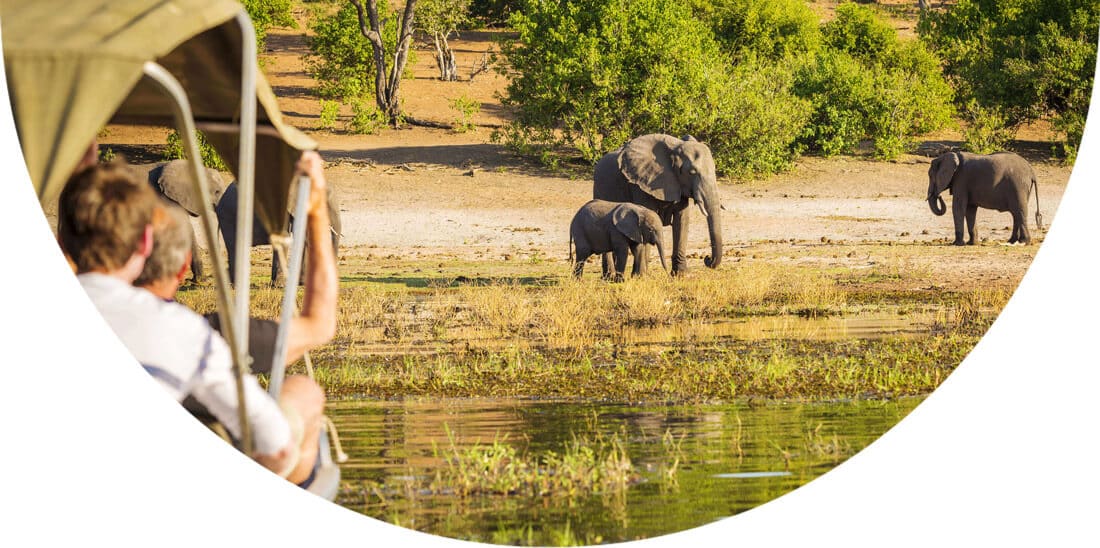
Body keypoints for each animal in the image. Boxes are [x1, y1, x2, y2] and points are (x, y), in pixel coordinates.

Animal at [594, 133, 721, 274]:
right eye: (692, 172)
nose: (707, 259)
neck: (674, 148)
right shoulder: (640, 184)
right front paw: (642, 275)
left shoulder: (677, 184)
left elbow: (682, 221)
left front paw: (681, 274)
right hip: (599, 189)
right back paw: (609, 276)